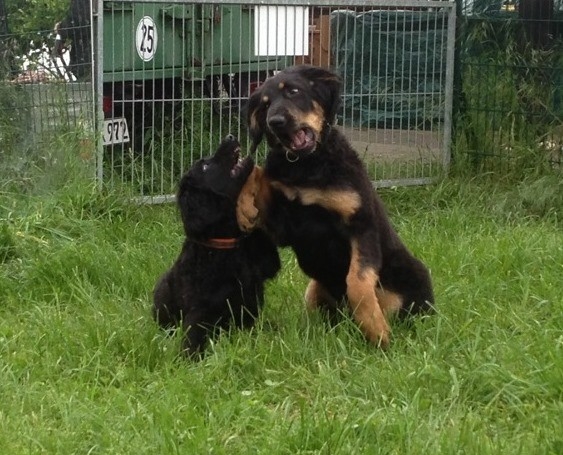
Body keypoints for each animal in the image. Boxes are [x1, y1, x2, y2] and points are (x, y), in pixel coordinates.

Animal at [152, 134, 281, 357]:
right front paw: (189, 358)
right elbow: (193, 336)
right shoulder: (202, 308)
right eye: (205, 166)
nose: (230, 136)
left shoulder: (265, 266)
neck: (226, 244)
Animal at [241, 65, 434, 348]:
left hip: (413, 275)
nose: (275, 122)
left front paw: (376, 330)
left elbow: (358, 282)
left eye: (294, 91)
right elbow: (257, 174)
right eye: (265, 105)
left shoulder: (361, 226)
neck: (306, 166)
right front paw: (244, 200)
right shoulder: (284, 227)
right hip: (314, 289)